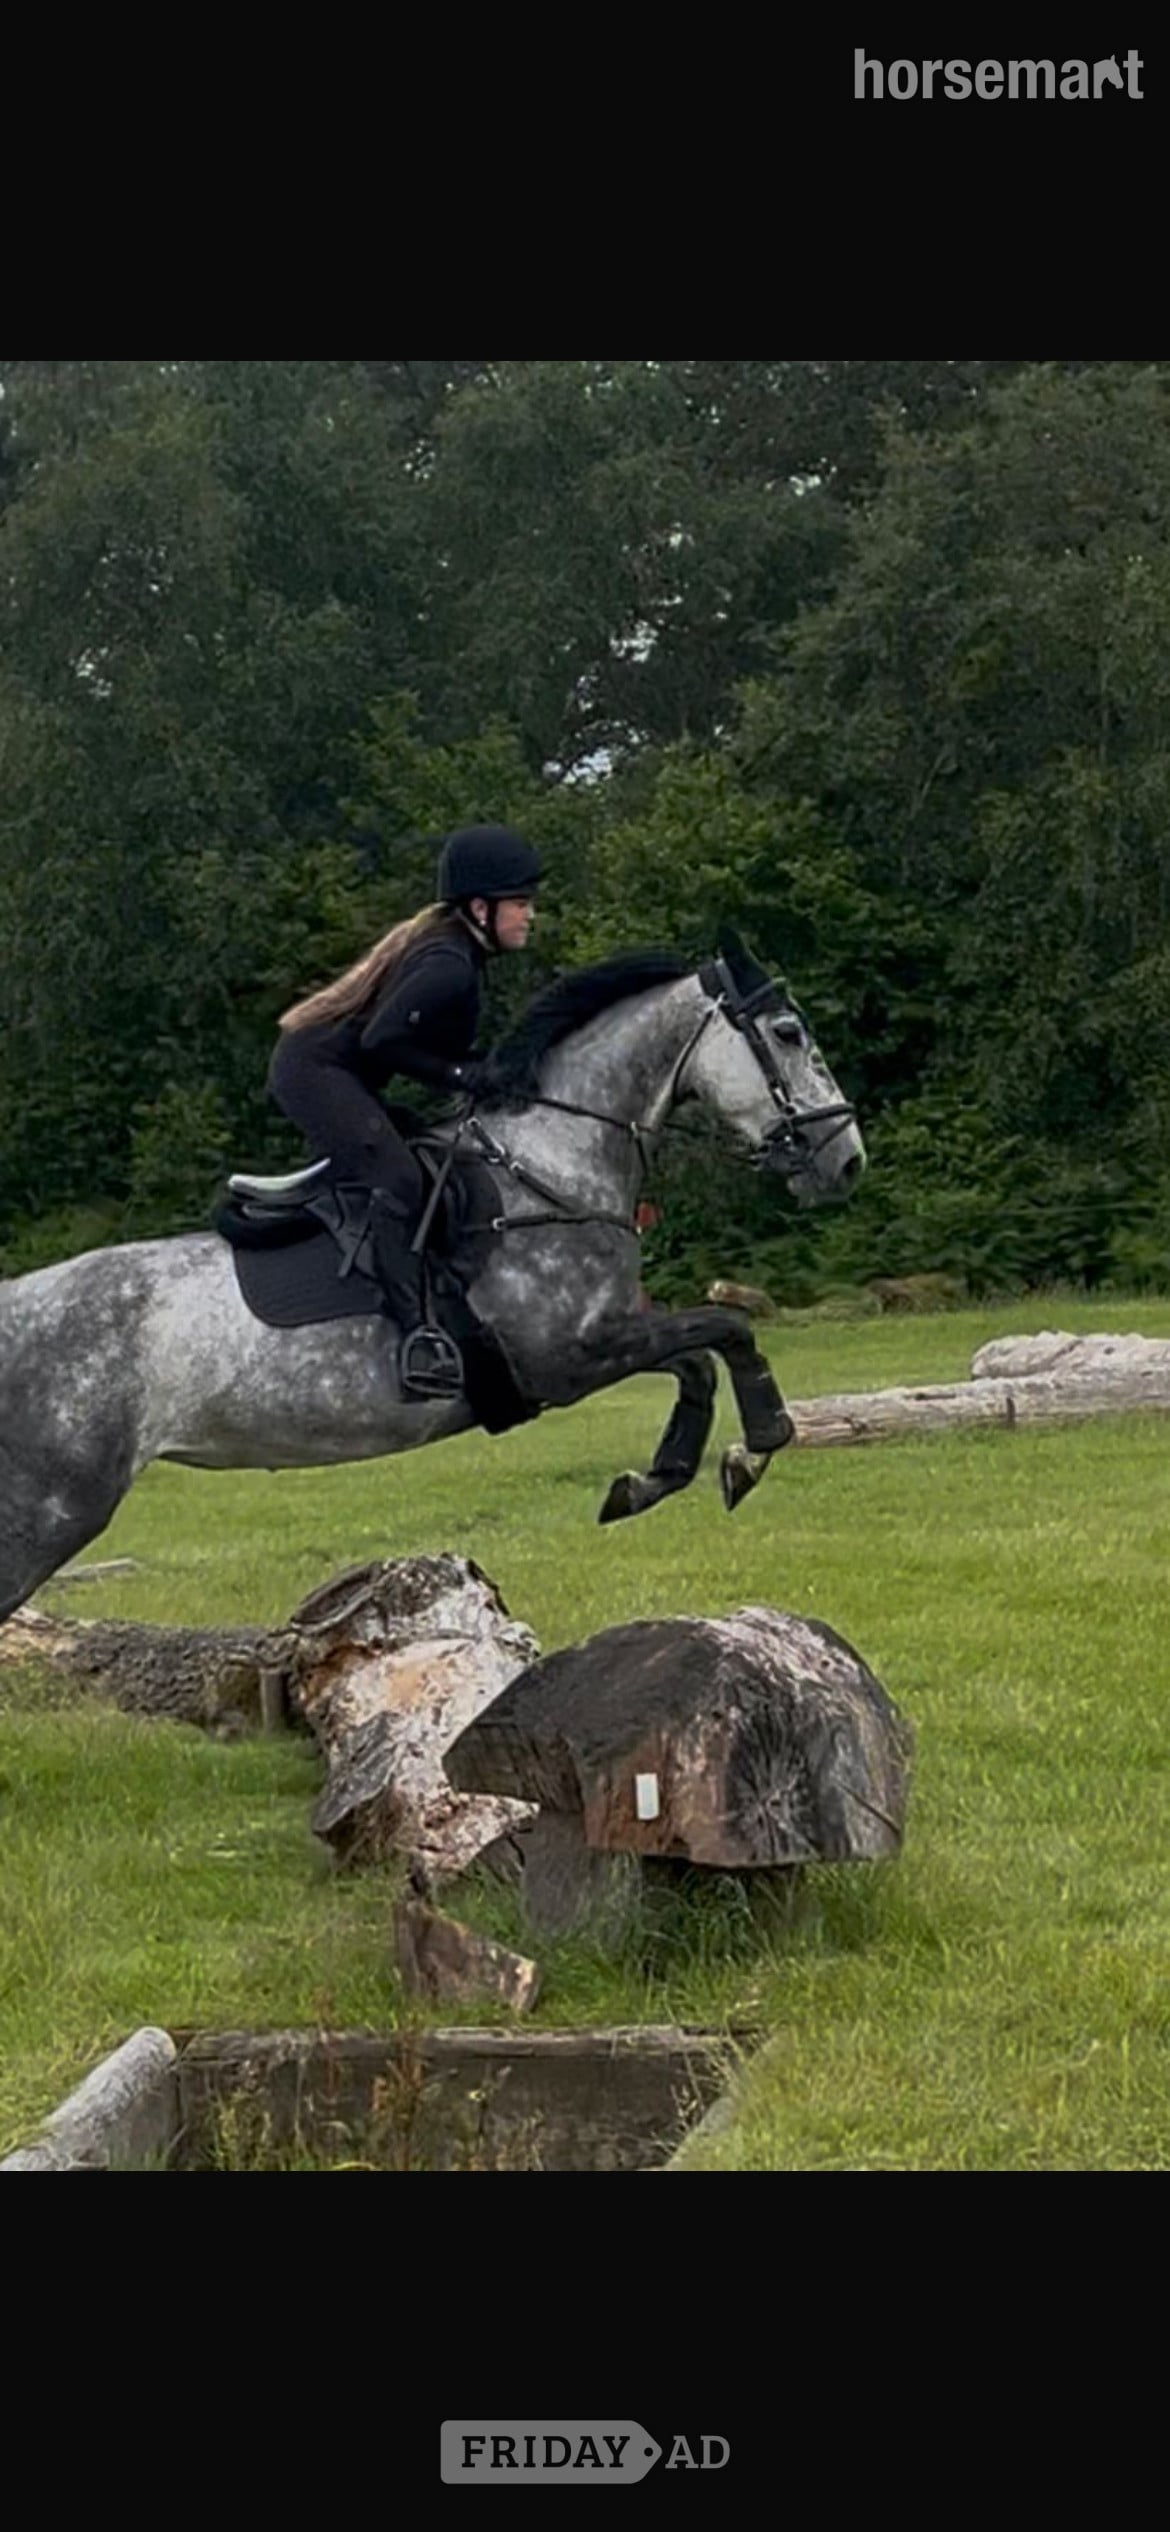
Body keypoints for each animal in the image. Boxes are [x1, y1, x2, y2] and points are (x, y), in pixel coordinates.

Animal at [0, 930, 865, 1623]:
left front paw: (654, 1480)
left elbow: (697, 1362)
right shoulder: (566, 1359)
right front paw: (757, 1448)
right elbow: (727, 1328)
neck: (552, 1166)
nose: (846, 1160)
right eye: (789, 1033)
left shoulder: (602, 1343)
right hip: (53, 1508)